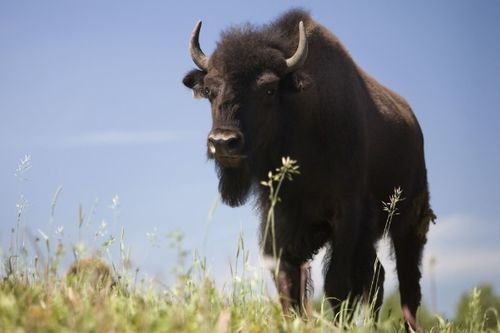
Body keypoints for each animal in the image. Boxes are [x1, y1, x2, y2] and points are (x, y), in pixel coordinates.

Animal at [183, 9, 434, 328]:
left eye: (268, 88)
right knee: (377, 277)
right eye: (210, 90)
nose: (223, 142)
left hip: (408, 223)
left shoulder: (346, 218)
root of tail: (413, 123)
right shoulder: (279, 225)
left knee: (407, 284)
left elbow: (337, 285)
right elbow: (288, 285)